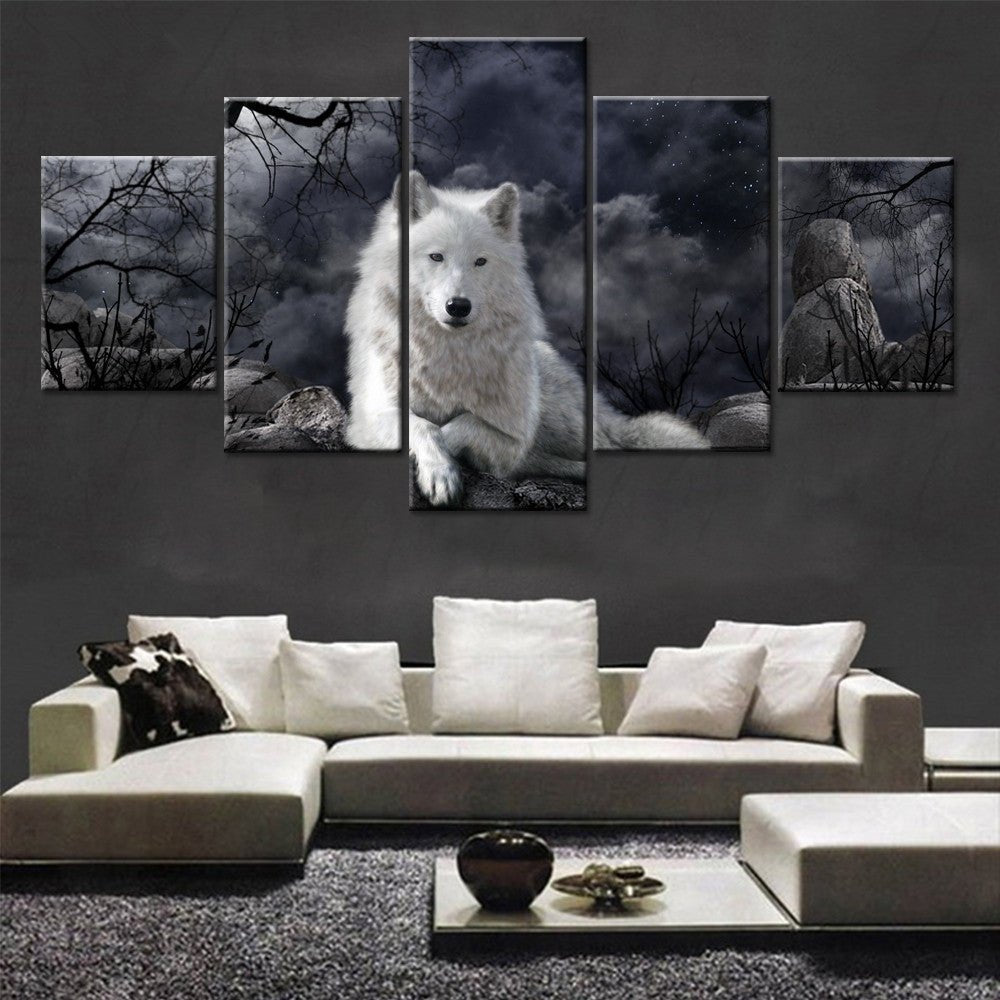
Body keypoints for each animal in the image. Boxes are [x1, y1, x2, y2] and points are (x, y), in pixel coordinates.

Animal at [345, 171, 708, 504]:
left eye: (480, 261)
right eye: (436, 256)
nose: (458, 306)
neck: (448, 355)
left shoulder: (513, 433)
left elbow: (465, 424)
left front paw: (449, 465)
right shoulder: (370, 416)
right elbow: (421, 424)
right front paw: (440, 471)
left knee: (601, 447)